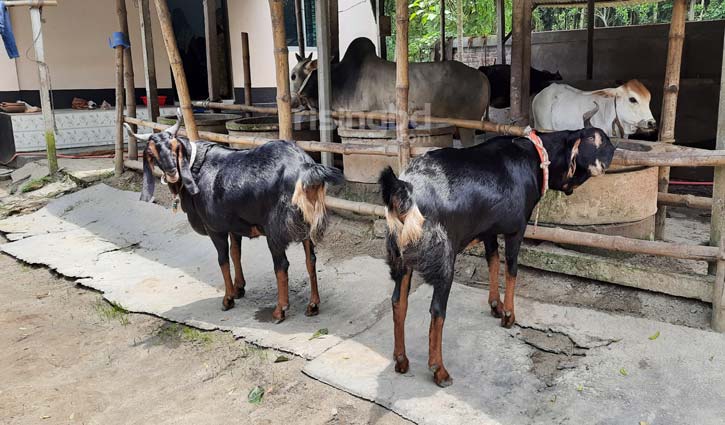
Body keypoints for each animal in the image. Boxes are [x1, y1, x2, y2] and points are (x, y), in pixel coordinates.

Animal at [124, 117, 342, 322]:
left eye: (174, 147)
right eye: (152, 153)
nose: (171, 172)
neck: (196, 168)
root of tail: (306, 167)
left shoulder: (215, 228)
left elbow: (223, 259)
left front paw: (228, 298)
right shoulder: (233, 225)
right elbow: (236, 253)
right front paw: (239, 288)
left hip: (275, 230)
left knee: (282, 265)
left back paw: (280, 310)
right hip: (307, 225)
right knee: (310, 260)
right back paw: (313, 305)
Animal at [382, 126, 612, 384]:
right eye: (603, 141)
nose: (615, 150)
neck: (537, 155)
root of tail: (405, 190)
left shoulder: (488, 230)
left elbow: (492, 262)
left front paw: (496, 306)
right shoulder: (516, 230)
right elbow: (511, 270)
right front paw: (509, 315)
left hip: (400, 257)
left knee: (398, 301)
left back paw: (401, 360)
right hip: (443, 258)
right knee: (437, 312)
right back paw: (439, 370)